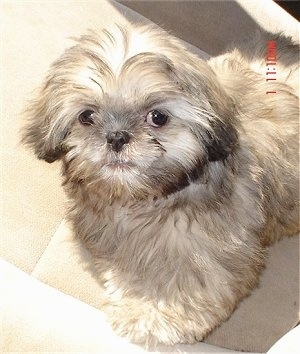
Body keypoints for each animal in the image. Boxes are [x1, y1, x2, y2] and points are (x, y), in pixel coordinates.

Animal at [21, 23, 300, 348]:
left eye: (158, 117)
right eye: (87, 116)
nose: (116, 137)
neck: (148, 197)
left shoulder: (209, 249)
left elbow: (190, 285)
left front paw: (146, 314)